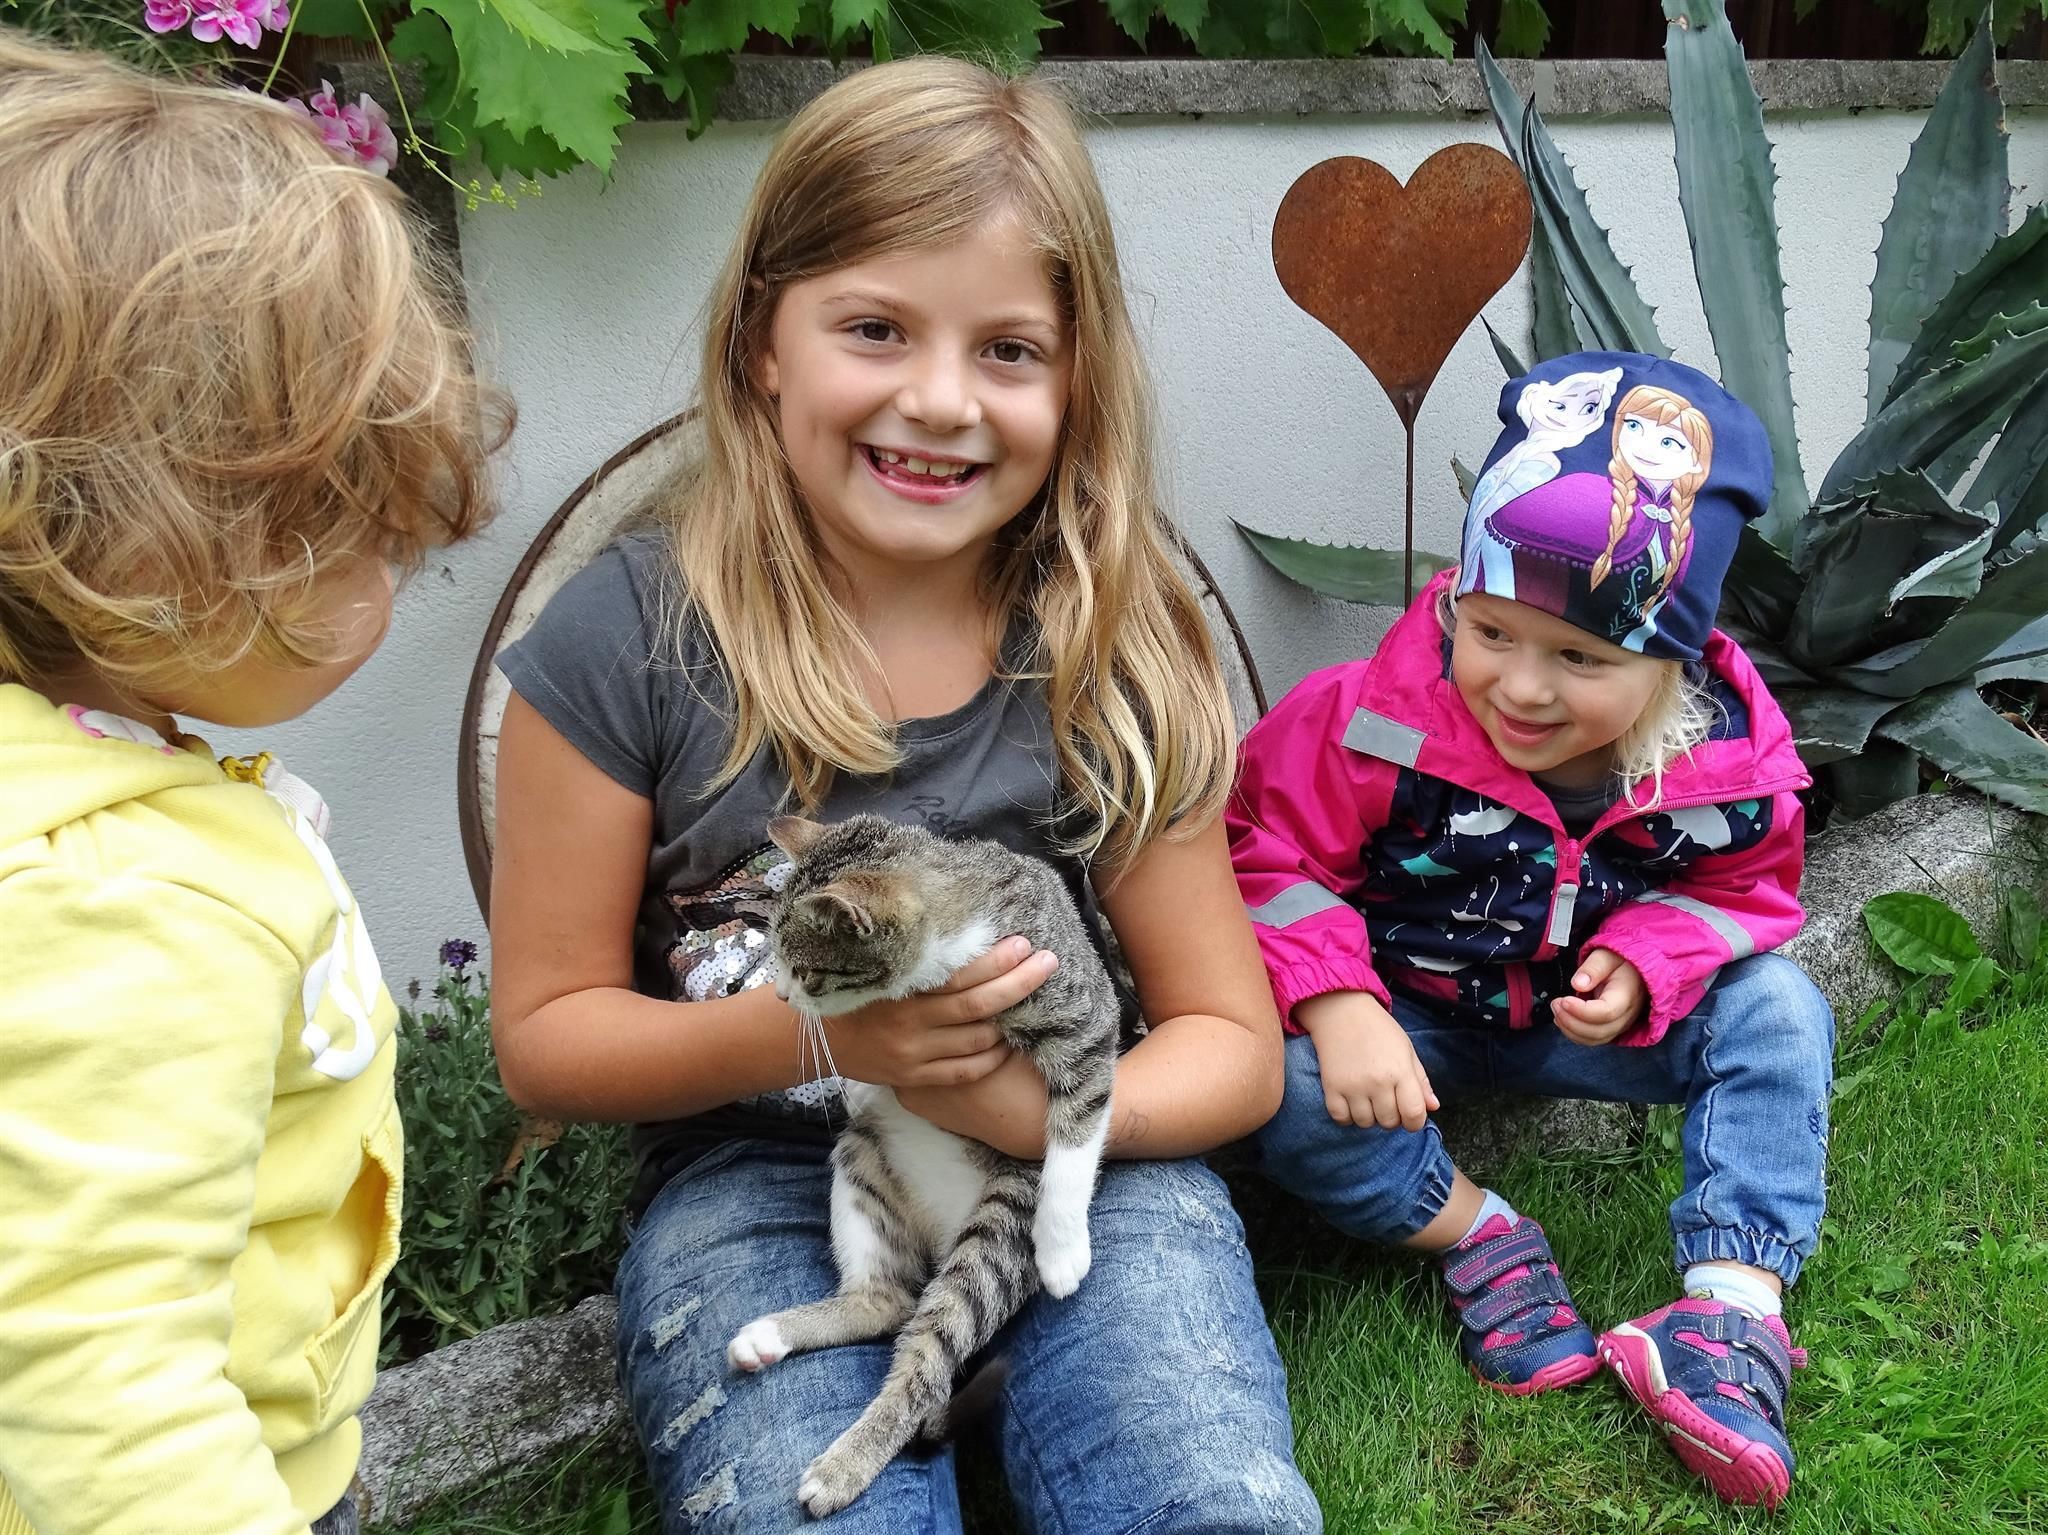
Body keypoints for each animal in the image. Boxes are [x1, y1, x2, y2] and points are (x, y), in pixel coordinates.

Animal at [725, 813, 1119, 1519]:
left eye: (805, 968)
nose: (781, 996)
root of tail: (941, 1233)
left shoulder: (1083, 1011)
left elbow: (1077, 1124)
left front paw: (1063, 1248)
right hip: (860, 1165)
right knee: (885, 1302)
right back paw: (770, 1337)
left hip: (998, 1226)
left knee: (927, 1358)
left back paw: (841, 1467)